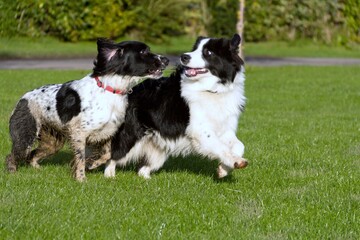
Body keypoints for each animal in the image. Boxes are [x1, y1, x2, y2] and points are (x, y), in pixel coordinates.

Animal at [5, 37, 169, 181]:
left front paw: (92, 164)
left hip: (51, 142)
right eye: (143, 51)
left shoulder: (107, 133)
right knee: (12, 155)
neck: (109, 90)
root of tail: (22, 99)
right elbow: (80, 158)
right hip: (27, 134)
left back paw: (37, 169)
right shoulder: (79, 133)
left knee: (32, 155)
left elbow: (107, 155)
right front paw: (81, 179)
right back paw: (13, 173)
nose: (167, 60)